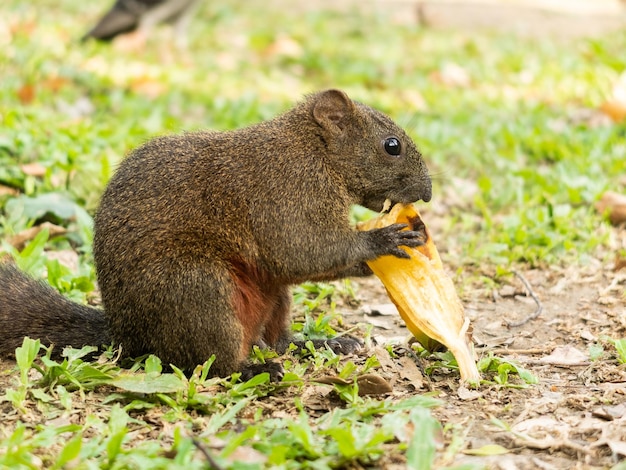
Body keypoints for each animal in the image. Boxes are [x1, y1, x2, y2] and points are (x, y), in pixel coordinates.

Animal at [0, 90, 428, 380]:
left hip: (270, 298)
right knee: (211, 363)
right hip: (198, 291)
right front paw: (384, 242)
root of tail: (125, 335)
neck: (314, 151)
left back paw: (320, 344)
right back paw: (255, 371)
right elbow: (302, 252)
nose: (427, 191)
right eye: (391, 146)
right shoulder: (286, 192)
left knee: (277, 341)